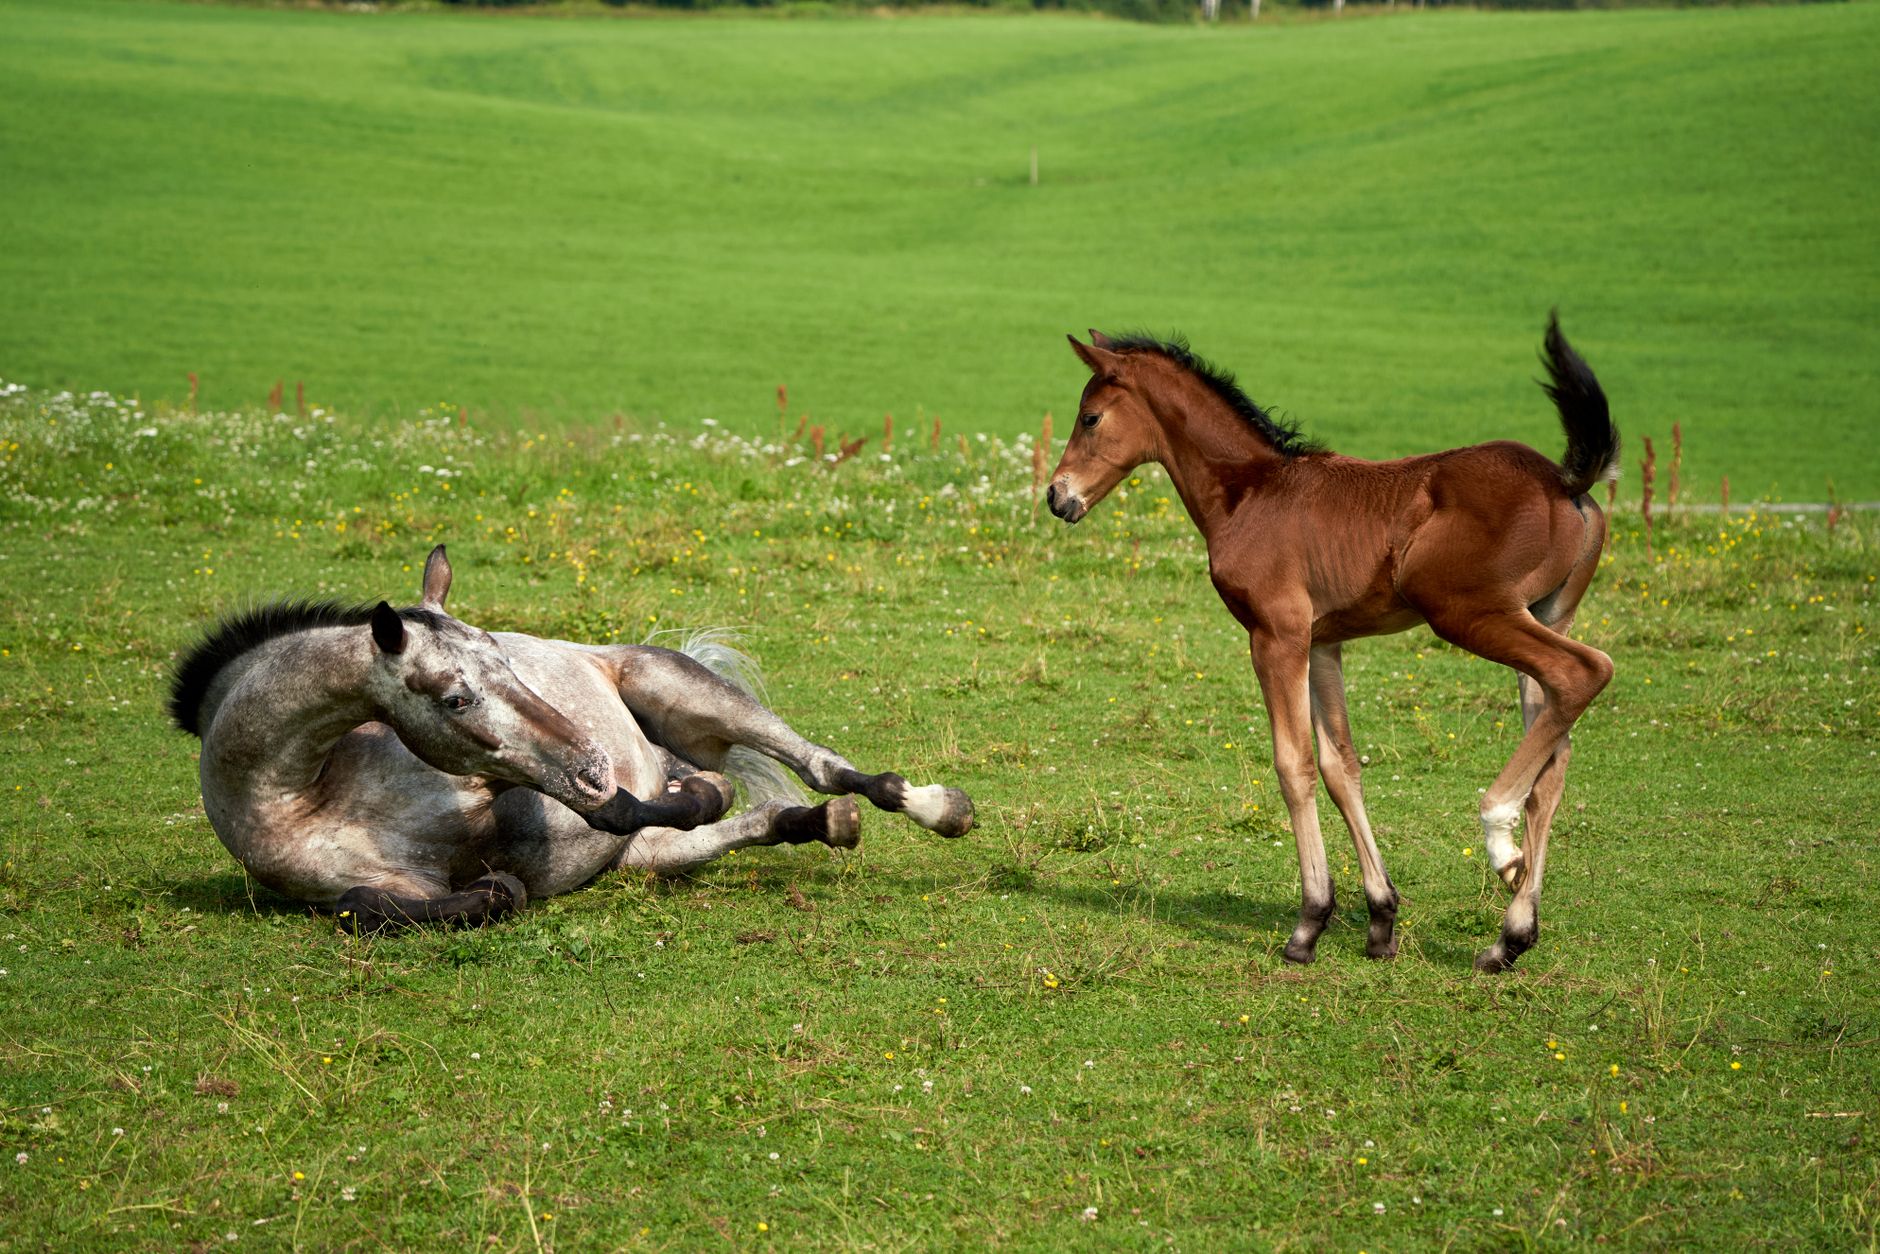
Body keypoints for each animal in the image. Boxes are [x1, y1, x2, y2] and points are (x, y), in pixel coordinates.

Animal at [168, 546, 975, 934]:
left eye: (504, 654)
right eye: (456, 696)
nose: (591, 757)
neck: (307, 793)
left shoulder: (520, 789)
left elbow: (630, 805)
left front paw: (689, 790)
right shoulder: (387, 885)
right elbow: (395, 905)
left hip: (679, 690)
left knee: (823, 767)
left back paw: (936, 806)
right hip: (651, 858)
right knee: (768, 817)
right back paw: (822, 823)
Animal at [1046, 314, 1617, 973]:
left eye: (1090, 417)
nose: (1057, 496)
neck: (1250, 492)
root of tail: (1564, 480)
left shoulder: (1276, 636)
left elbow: (1292, 765)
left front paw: (1309, 923)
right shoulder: (1322, 644)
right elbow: (1340, 765)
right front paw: (1381, 918)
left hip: (1470, 613)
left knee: (1584, 673)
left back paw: (1499, 841)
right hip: (1545, 614)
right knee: (1555, 753)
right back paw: (1511, 936)